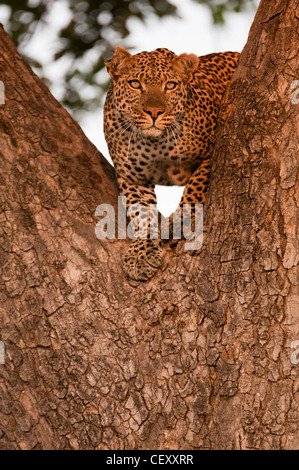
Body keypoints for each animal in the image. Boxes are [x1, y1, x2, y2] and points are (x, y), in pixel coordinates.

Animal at [104, 46, 240, 280]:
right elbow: (141, 212)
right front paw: (142, 252)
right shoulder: (132, 177)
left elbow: (193, 190)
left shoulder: (211, 151)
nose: (154, 112)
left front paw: (178, 224)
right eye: (135, 84)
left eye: (170, 85)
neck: (153, 142)